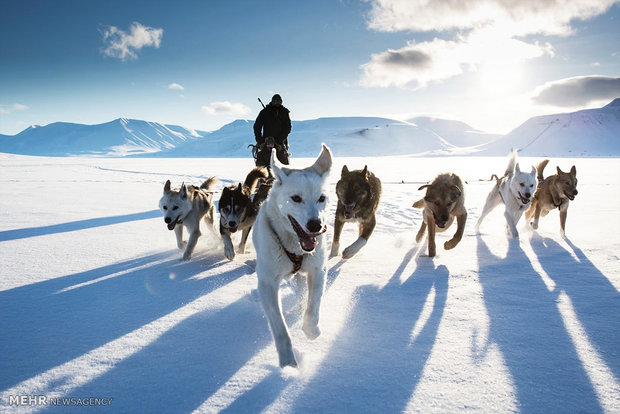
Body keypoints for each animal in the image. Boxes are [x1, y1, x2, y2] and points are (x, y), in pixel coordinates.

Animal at [251, 144, 332, 368]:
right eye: (296, 198)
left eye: (321, 198)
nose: (315, 225)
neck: (295, 246)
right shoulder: (268, 283)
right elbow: (280, 329)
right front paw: (288, 364)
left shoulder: (318, 270)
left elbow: (313, 307)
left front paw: (312, 330)